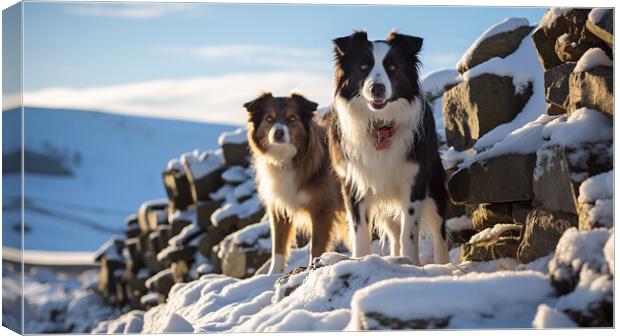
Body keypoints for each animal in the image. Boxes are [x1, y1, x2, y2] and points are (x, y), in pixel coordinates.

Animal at [243, 92, 348, 276]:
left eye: (292, 118)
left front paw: (312, 268)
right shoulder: (279, 208)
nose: (278, 132)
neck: (287, 159)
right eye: (269, 118)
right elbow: (278, 247)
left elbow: (316, 246)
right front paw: (272, 275)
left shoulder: (323, 208)